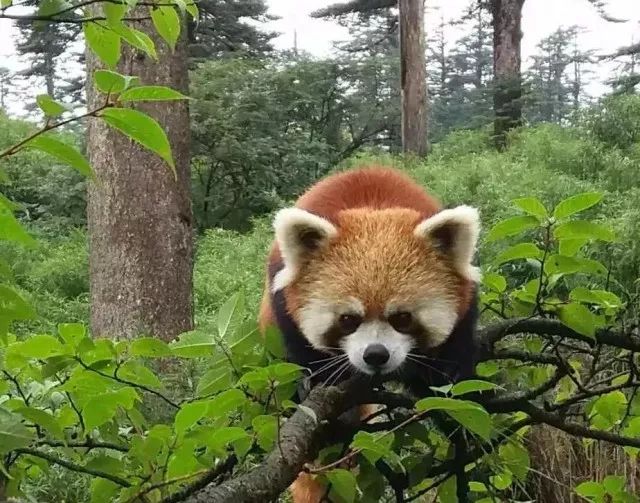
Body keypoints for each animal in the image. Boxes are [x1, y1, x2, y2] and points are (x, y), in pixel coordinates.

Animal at [256, 166, 480, 503]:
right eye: (348, 320)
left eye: (402, 318)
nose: (375, 354)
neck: (372, 205)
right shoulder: (283, 309)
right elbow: (307, 356)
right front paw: (319, 384)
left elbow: (453, 363)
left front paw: (458, 398)